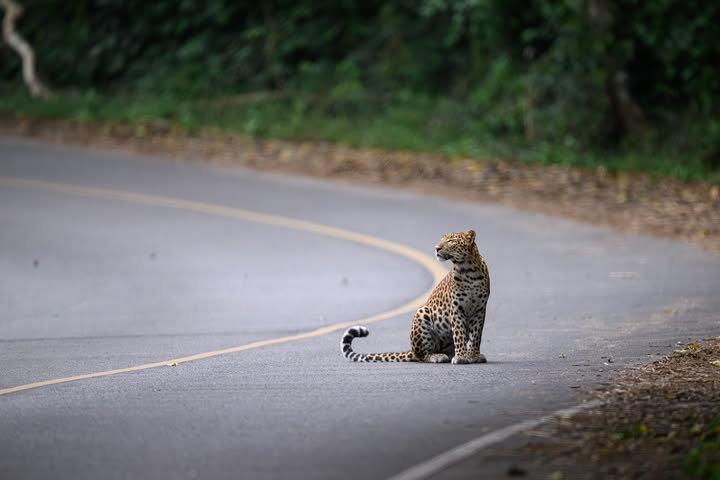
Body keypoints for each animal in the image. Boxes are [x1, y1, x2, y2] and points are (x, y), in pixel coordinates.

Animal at [338, 230, 486, 364]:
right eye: (442, 239)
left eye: (451, 241)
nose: (436, 248)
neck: (468, 270)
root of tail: (412, 350)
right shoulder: (455, 309)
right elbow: (459, 333)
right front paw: (461, 357)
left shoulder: (480, 309)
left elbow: (476, 335)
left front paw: (473, 356)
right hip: (422, 313)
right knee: (422, 355)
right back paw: (438, 356)